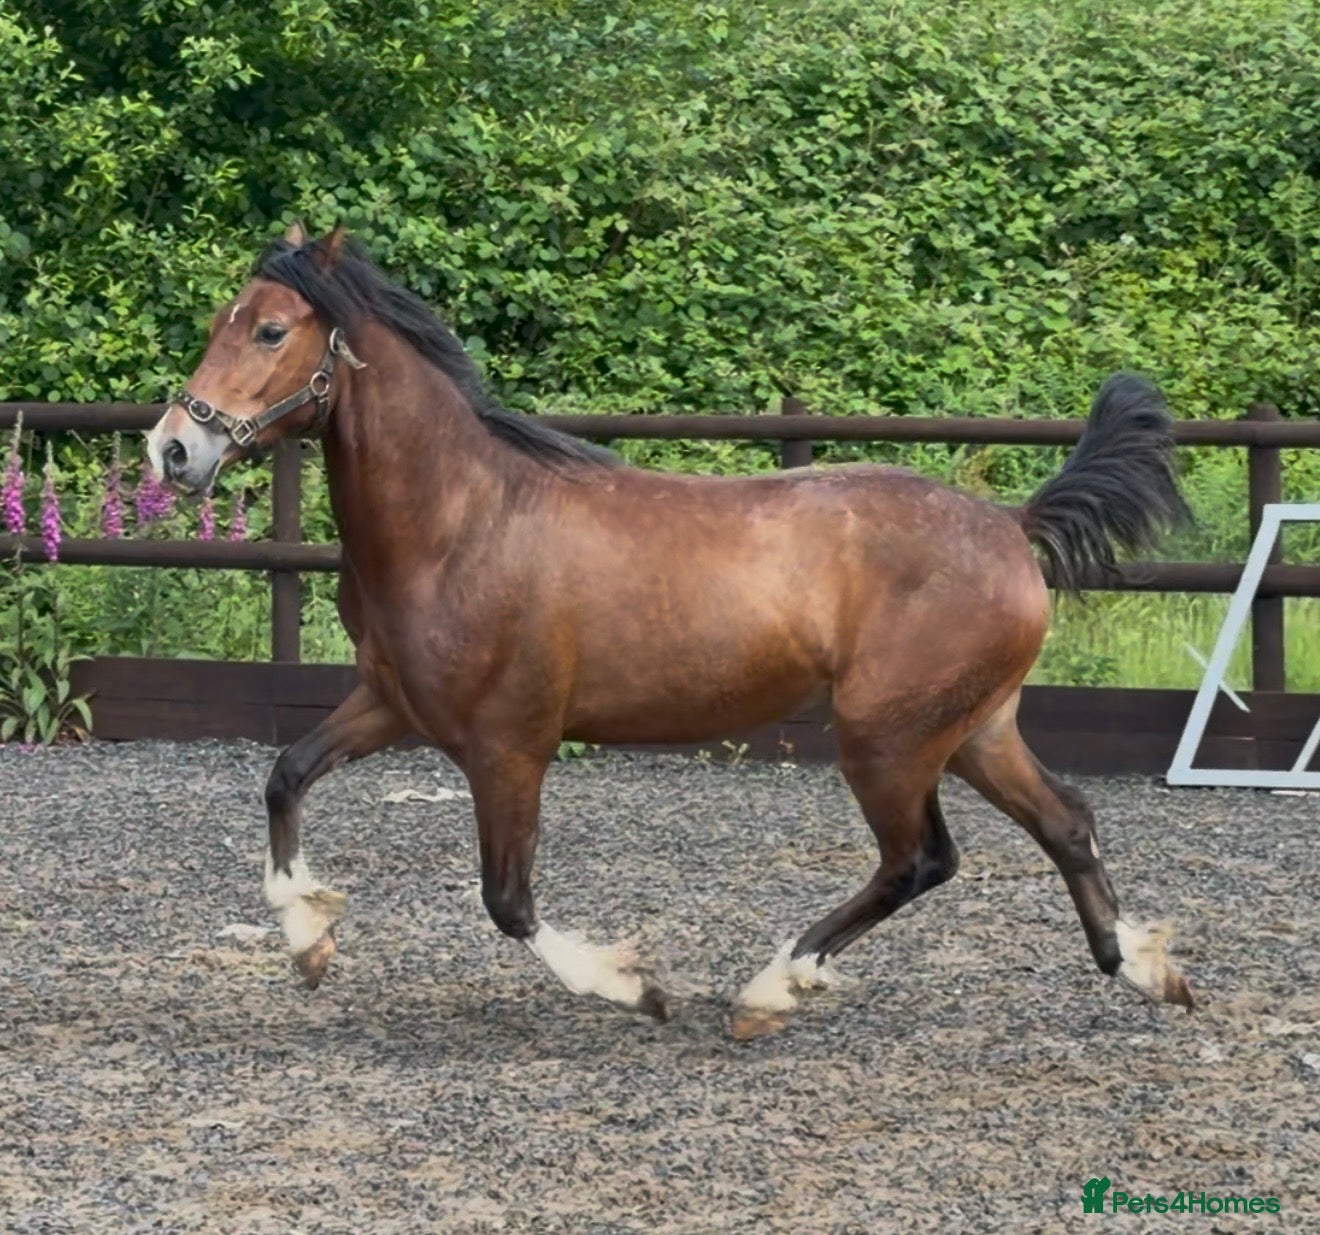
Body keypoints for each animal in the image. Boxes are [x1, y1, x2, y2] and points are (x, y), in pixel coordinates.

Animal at [146, 222, 1195, 1038]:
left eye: (271, 328)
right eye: (222, 320)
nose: (174, 448)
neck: (461, 520)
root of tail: (1012, 526)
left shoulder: (508, 744)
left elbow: (508, 900)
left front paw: (634, 986)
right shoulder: (392, 704)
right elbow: (285, 775)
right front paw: (309, 940)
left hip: (888, 738)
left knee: (921, 860)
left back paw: (773, 987)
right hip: (974, 728)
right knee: (1065, 820)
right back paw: (1143, 966)